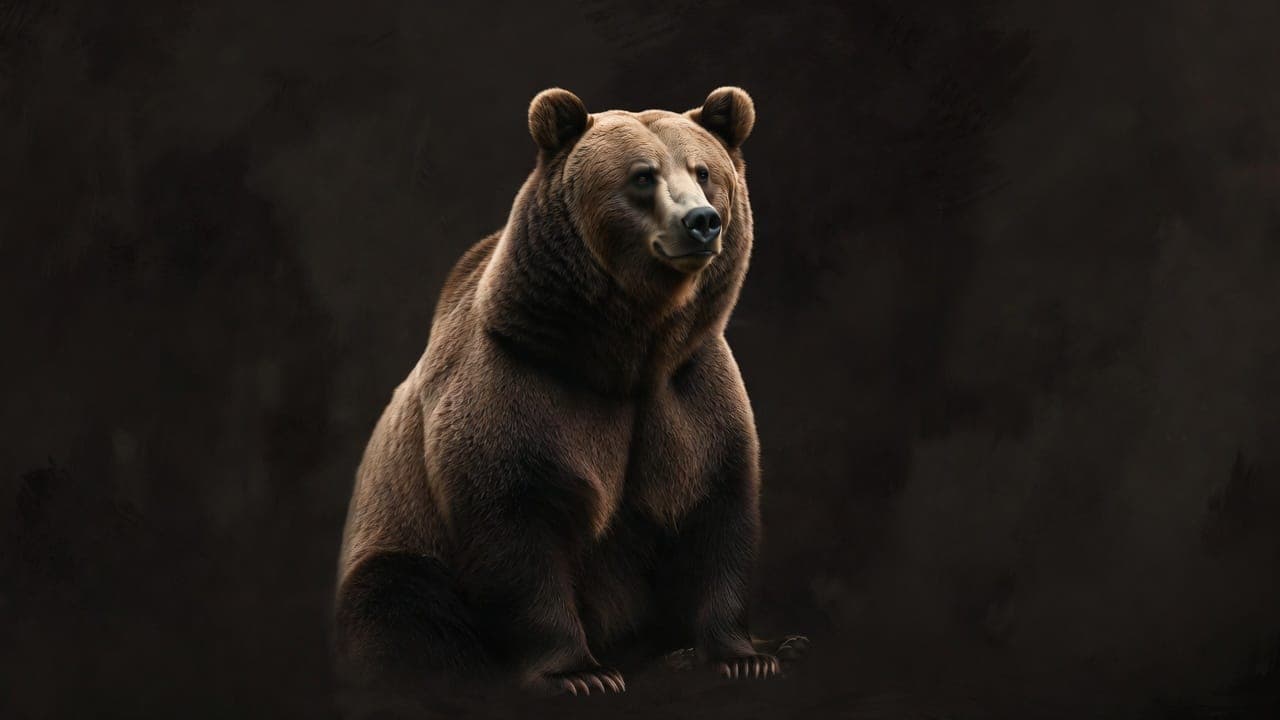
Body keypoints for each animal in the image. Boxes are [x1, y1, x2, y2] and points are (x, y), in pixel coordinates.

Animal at [334, 86, 805, 699]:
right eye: (643, 175)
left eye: (704, 171)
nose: (702, 221)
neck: (626, 351)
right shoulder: (519, 386)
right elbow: (515, 528)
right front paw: (581, 674)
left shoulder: (690, 390)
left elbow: (716, 509)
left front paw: (743, 656)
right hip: (401, 545)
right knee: (400, 600)